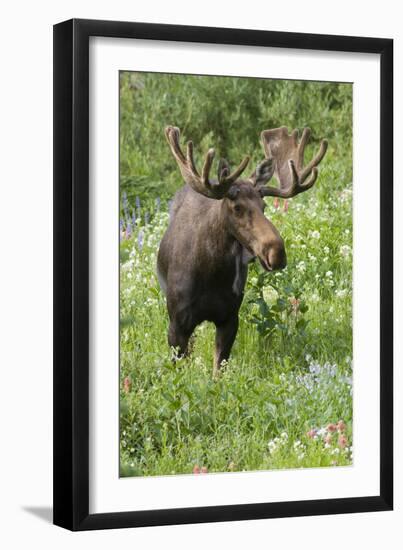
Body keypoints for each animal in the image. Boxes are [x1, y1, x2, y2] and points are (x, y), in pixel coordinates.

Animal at [158, 125, 328, 378]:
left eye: (264, 206)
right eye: (237, 208)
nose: (277, 252)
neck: (212, 275)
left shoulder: (230, 318)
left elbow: (218, 371)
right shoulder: (177, 323)